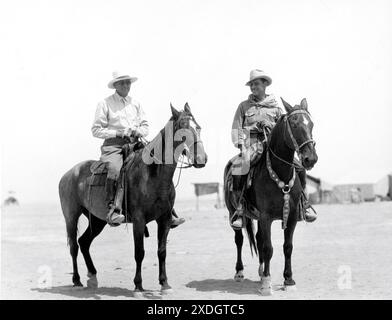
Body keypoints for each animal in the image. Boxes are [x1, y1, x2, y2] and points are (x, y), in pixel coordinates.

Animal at [59, 102, 208, 296]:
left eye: (198, 127)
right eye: (183, 127)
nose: (201, 159)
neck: (152, 174)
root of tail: (68, 174)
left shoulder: (165, 219)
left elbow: (162, 251)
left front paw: (165, 284)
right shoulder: (138, 220)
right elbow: (139, 252)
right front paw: (138, 286)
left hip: (98, 220)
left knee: (84, 242)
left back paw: (92, 277)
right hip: (71, 217)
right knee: (74, 247)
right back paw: (76, 280)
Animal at [224, 97, 318, 296]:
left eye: (311, 124)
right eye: (294, 124)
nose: (310, 159)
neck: (278, 172)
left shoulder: (291, 217)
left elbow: (287, 247)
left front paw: (289, 280)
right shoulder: (266, 217)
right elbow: (268, 248)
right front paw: (267, 284)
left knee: (258, 239)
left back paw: (260, 272)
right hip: (233, 213)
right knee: (239, 240)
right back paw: (240, 272)